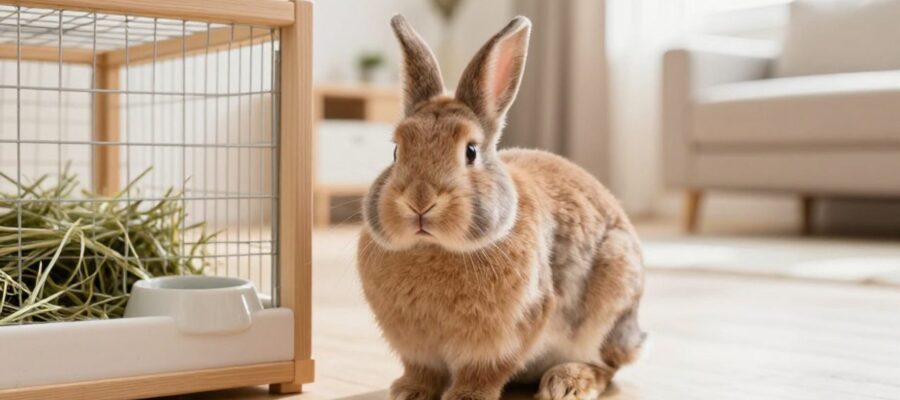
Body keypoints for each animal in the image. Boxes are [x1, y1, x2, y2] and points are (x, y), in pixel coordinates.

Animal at [357, 14, 646, 400]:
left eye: (470, 151)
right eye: (395, 151)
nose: (420, 200)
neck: (434, 248)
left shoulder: (511, 331)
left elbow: (485, 371)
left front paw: (466, 396)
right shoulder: (416, 348)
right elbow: (423, 371)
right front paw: (408, 391)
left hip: (611, 298)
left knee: (607, 366)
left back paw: (567, 383)